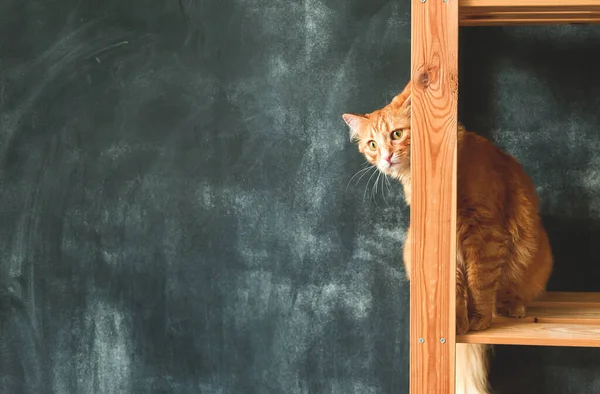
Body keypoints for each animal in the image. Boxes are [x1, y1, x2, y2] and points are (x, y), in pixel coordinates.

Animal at [342, 81, 552, 392]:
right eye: (372, 144)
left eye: (396, 134)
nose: (386, 157)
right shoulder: (447, 241)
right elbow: (456, 287)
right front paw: (457, 323)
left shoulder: (485, 231)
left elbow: (480, 282)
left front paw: (478, 319)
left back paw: (511, 307)